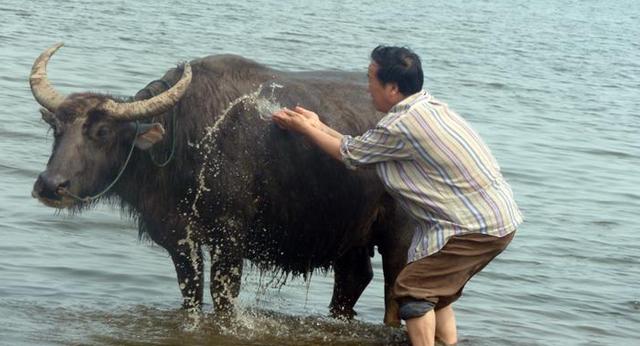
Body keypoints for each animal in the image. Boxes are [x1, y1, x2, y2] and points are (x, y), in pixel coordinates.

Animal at [30, 42, 412, 324]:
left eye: (103, 132)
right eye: (57, 129)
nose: (50, 185)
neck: (187, 139)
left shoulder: (229, 237)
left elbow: (223, 297)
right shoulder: (178, 237)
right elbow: (191, 294)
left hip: (400, 236)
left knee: (395, 292)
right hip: (351, 237)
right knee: (353, 280)